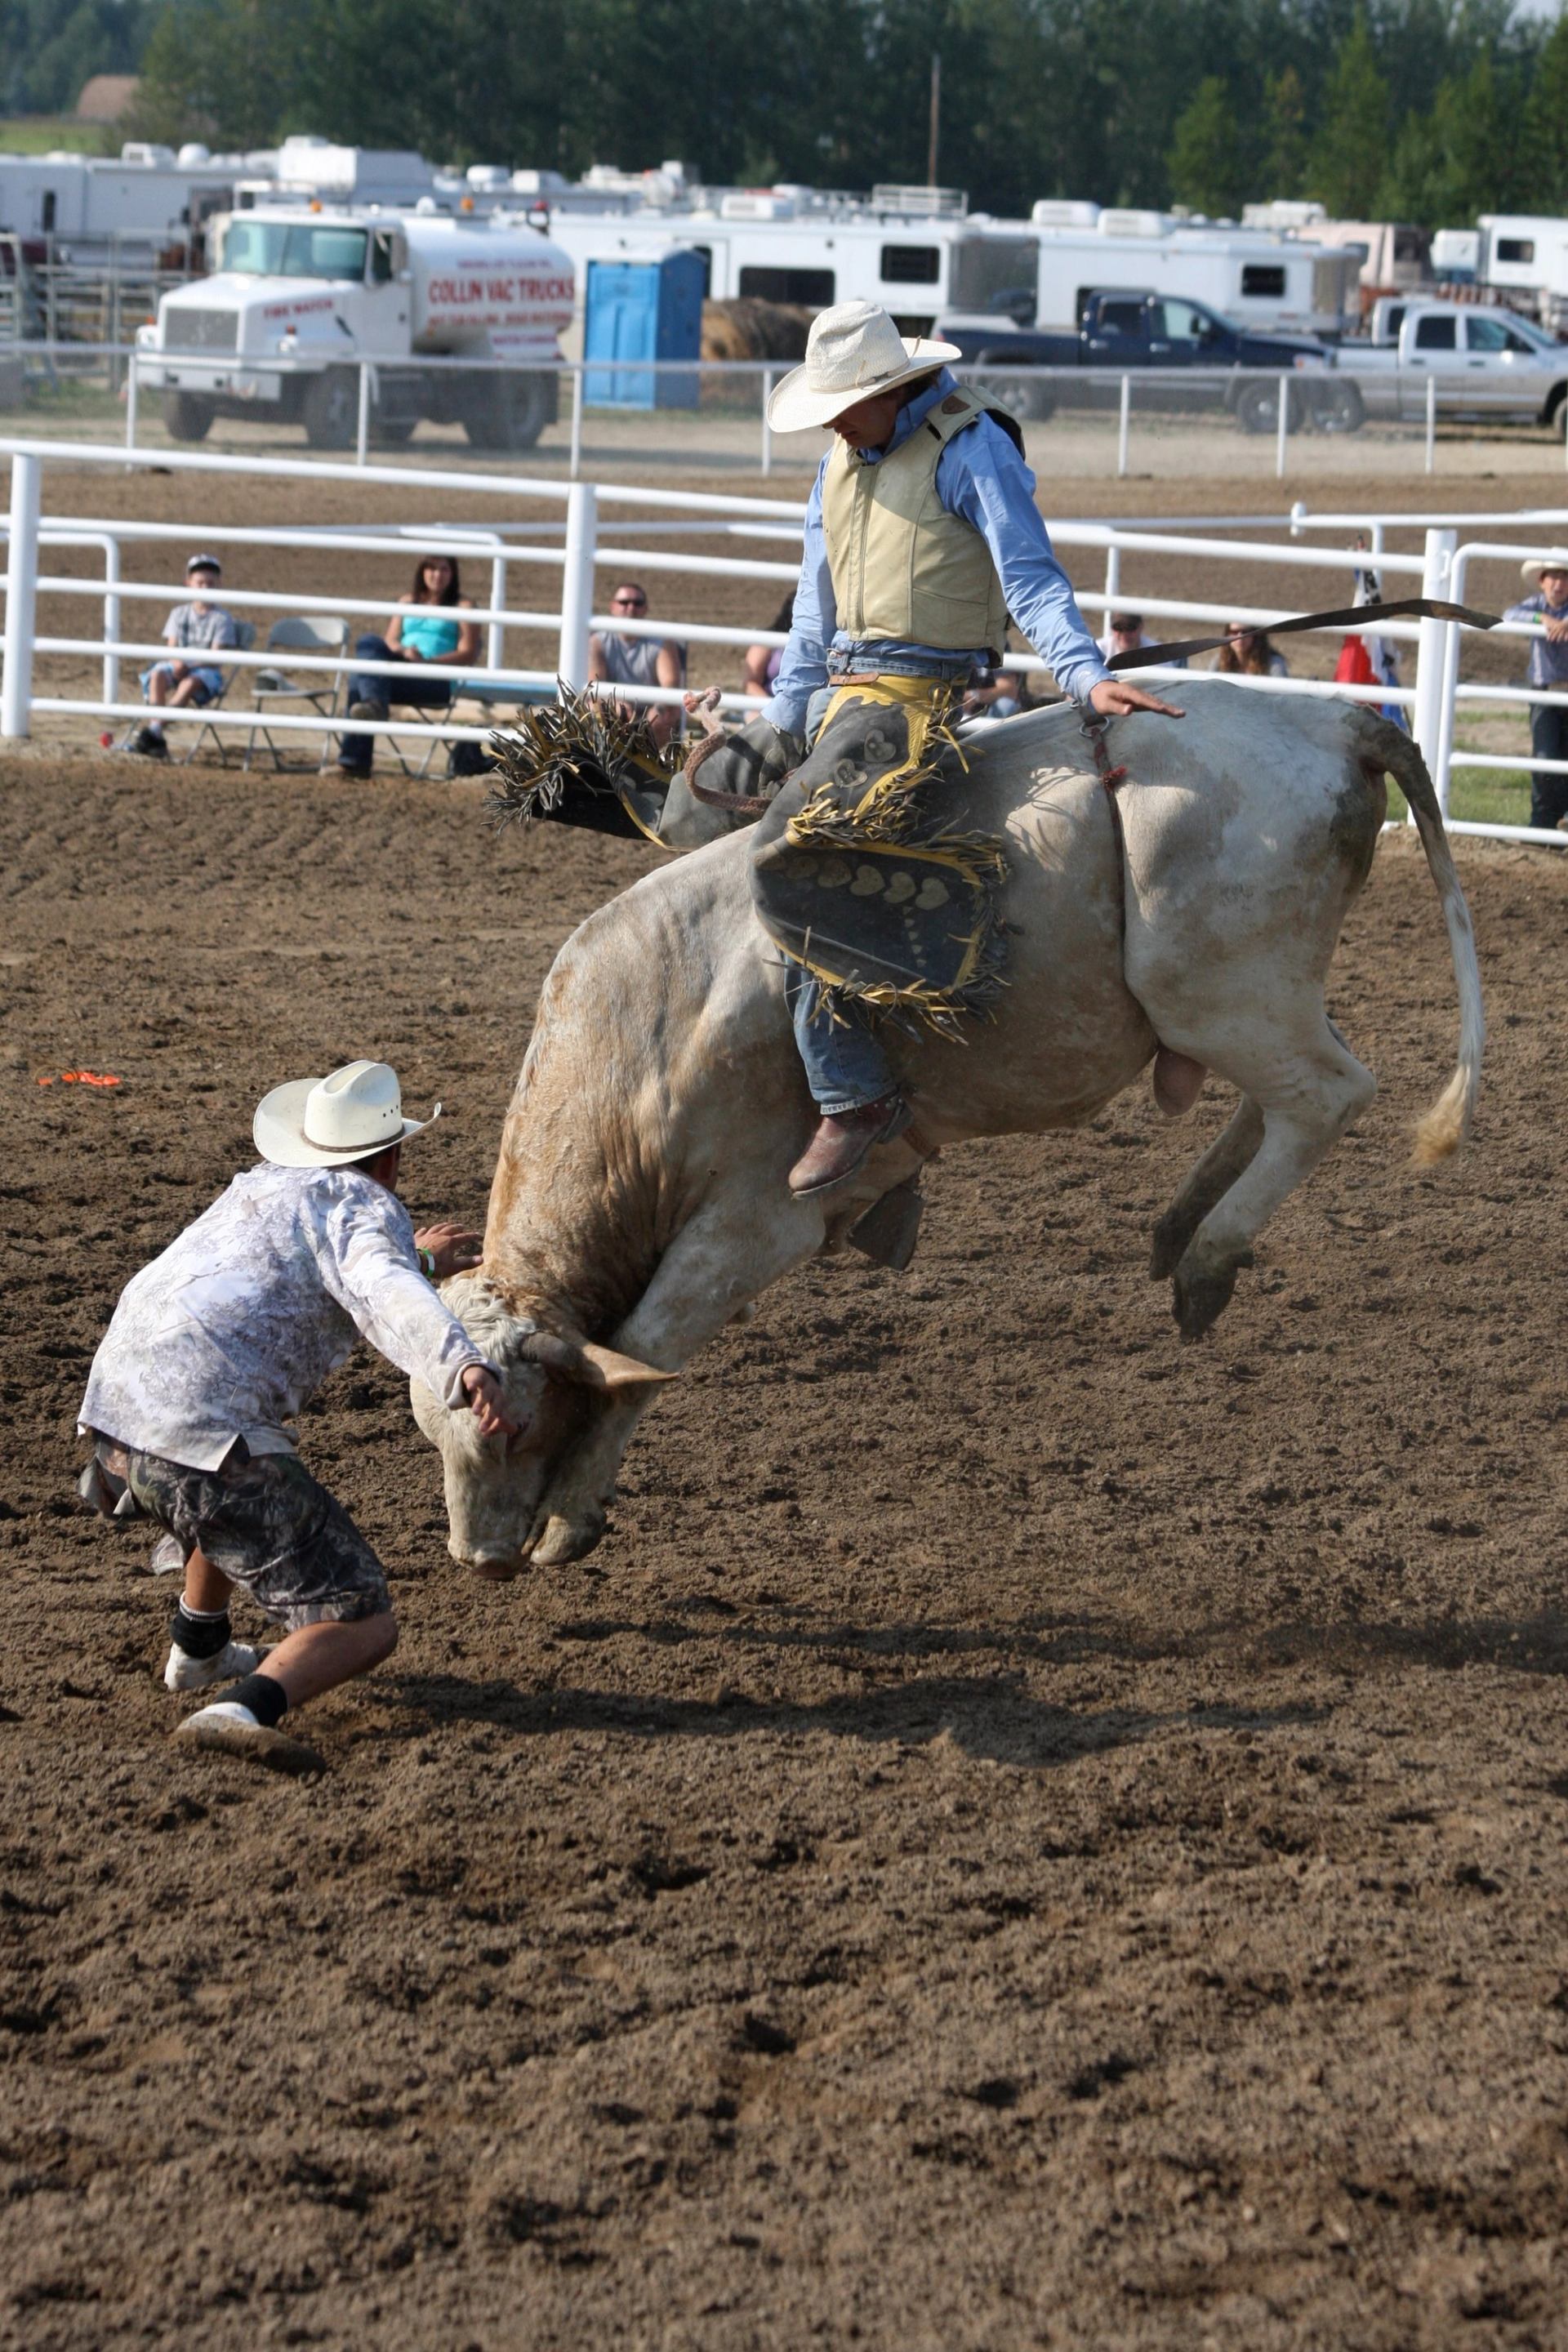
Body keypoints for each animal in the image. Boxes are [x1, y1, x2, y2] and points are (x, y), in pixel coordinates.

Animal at [411, 681, 1482, 1576]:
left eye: (508, 1427)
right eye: (431, 1429)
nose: (478, 1558)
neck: (654, 1037)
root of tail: (1333, 721)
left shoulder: (754, 1222)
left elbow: (643, 1352)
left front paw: (568, 1520)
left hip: (1221, 991)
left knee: (1329, 1094)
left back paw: (1207, 1261)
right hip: (1250, 1001)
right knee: (1284, 1092)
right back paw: (1180, 1226)